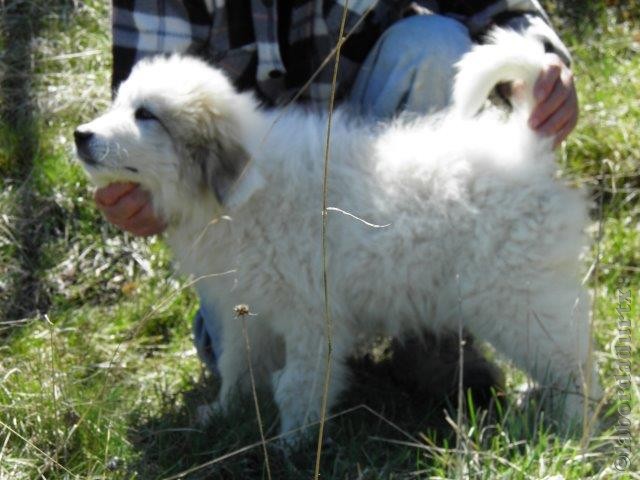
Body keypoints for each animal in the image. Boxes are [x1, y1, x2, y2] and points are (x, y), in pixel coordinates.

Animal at [75, 28, 600, 436]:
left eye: (146, 115)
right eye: (120, 104)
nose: (81, 135)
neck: (244, 193)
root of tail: (524, 144)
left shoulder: (311, 316)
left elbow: (299, 384)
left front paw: (291, 445)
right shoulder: (251, 309)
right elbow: (240, 367)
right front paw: (225, 415)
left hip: (516, 295)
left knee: (570, 361)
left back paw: (573, 426)